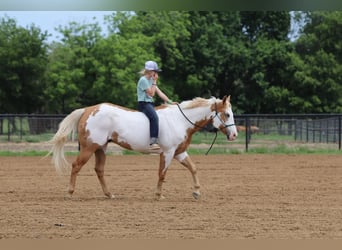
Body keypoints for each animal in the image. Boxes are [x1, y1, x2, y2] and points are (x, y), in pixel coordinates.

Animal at [48, 94, 238, 200]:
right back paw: (70, 193)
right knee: (76, 166)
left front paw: (197, 192)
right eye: (227, 114)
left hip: (101, 148)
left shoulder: (179, 152)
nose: (234, 135)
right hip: (89, 148)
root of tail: (88, 109)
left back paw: (109, 194)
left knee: (99, 170)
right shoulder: (168, 152)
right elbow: (162, 174)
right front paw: (159, 195)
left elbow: (193, 168)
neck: (180, 120)